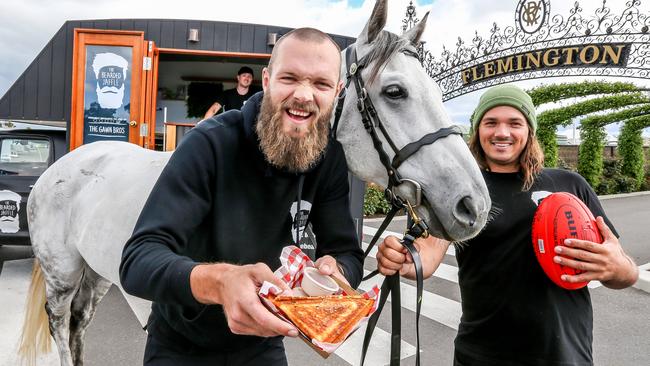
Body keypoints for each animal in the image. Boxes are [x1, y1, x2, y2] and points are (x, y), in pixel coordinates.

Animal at [17, 1, 488, 364]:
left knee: (79, 325)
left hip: (96, 274)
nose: (473, 206)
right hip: (63, 275)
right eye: (394, 92)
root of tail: (56, 172)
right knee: (61, 327)